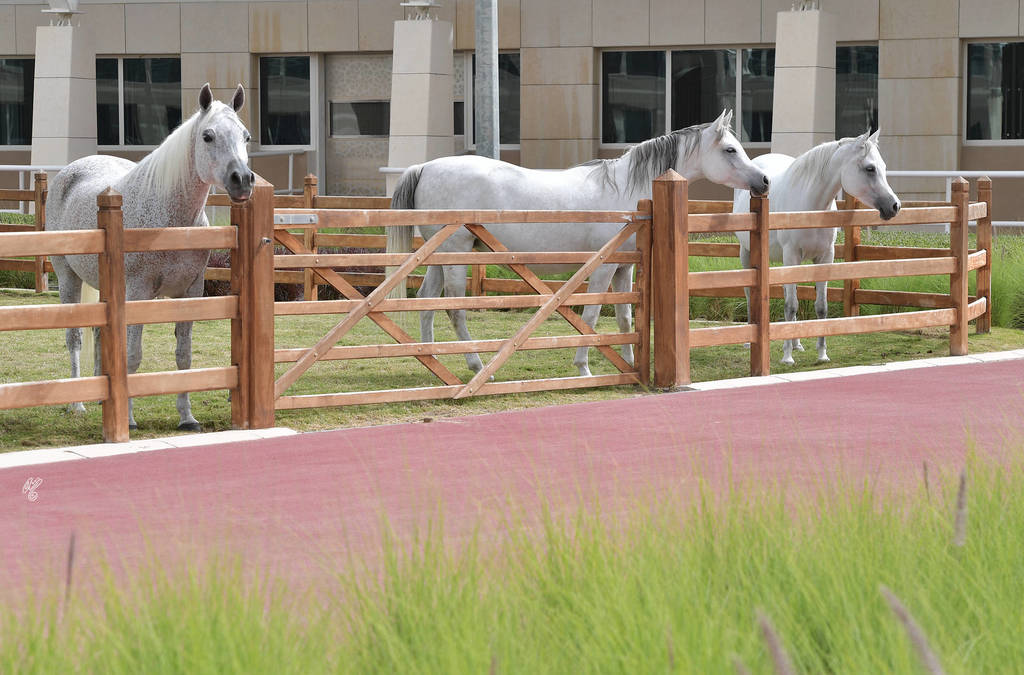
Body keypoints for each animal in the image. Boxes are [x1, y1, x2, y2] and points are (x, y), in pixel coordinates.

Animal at [45, 83, 254, 431]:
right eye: (208, 136)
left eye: (246, 136)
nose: (243, 180)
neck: (170, 218)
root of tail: (70, 172)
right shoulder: (138, 293)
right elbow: (132, 356)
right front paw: (128, 419)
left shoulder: (189, 292)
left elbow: (183, 355)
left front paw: (187, 417)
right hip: (67, 279)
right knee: (74, 338)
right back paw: (77, 403)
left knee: (99, 334)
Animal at [391, 110, 771, 377]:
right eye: (730, 149)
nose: (764, 181)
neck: (626, 190)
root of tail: (424, 167)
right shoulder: (602, 269)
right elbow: (591, 315)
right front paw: (584, 366)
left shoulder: (624, 268)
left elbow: (625, 319)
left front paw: (630, 366)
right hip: (454, 254)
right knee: (455, 309)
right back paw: (477, 367)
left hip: (439, 257)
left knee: (425, 302)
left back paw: (433, 361)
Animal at [733, 129, 901, 365]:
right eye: (870, 168)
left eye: (883, 167)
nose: (894, 206)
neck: (811, 206)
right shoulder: (791, 256)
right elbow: (790, 305)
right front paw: (787, 357)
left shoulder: (824, 257)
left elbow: (820, 307)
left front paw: (822, 353)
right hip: (748, 254)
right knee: (750, 293)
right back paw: (752, 342)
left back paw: (797, 344)